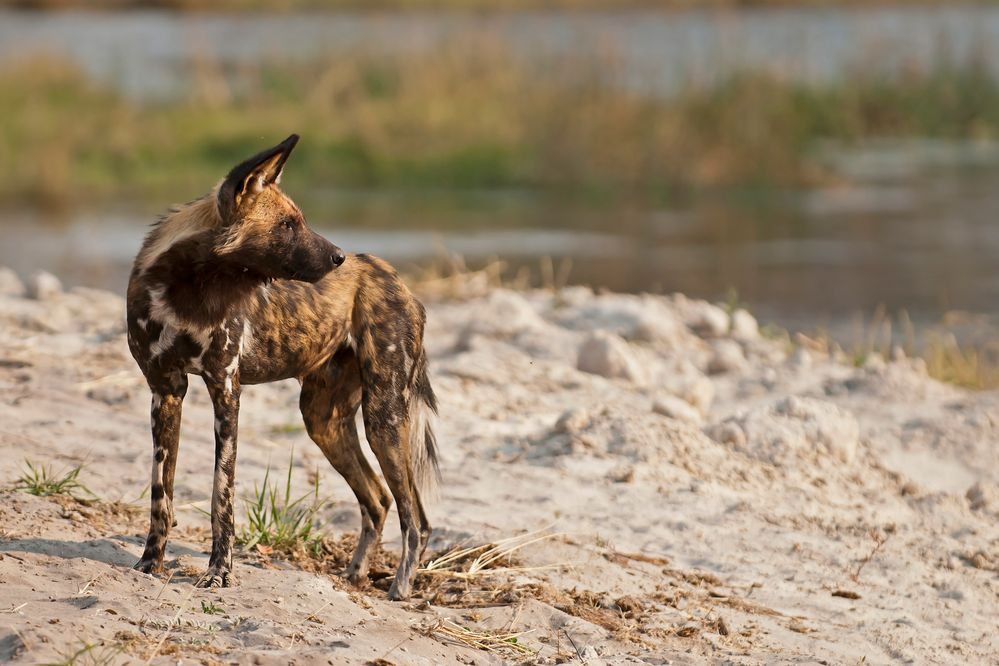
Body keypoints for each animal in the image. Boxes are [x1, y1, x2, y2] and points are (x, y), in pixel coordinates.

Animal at [125, 134, 438, 596]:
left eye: (299, 220)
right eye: (287, 224)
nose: (339, 257)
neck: (188, 290)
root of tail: (397, 279)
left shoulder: (226, 390)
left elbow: (221, 496)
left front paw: (219, 572)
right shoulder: (166, 390)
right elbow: (160, 494)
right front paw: (150, 564)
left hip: (384, 419)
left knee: (415, 517)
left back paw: (400, 588)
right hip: (323, 422)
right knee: (379, 500)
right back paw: (355, 574)